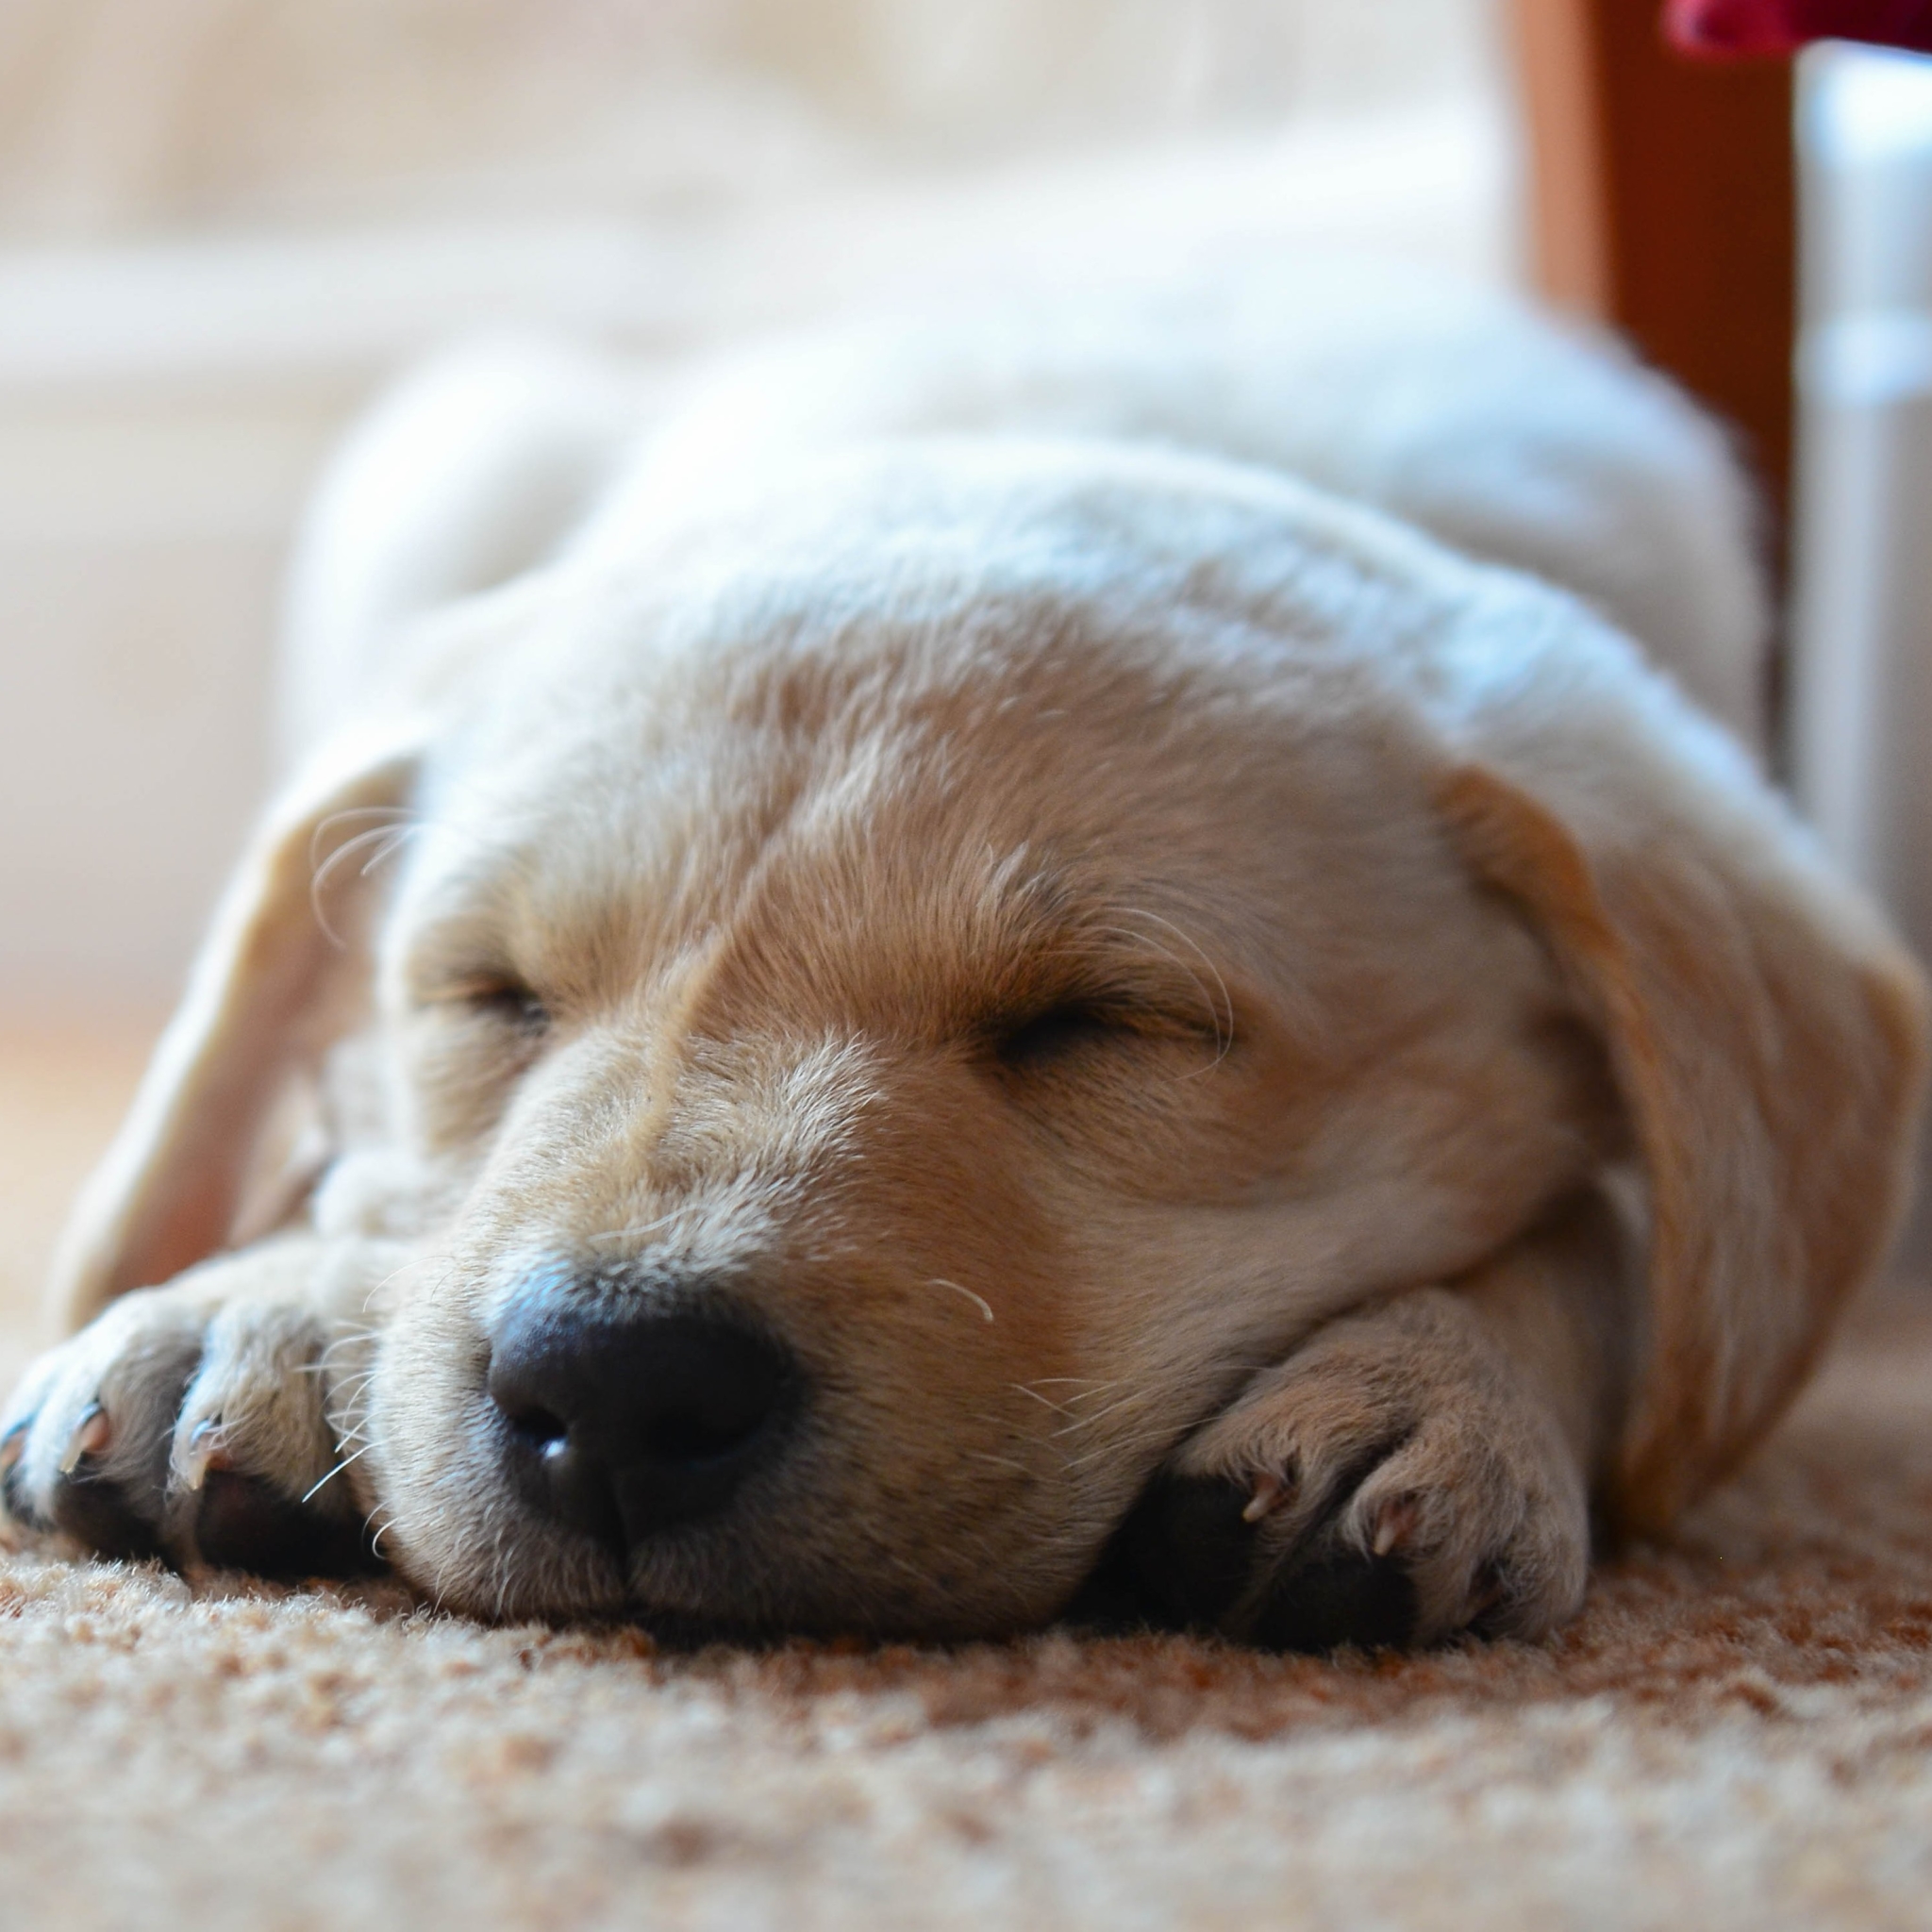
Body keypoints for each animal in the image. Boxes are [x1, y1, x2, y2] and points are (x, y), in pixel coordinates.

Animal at [8, 253, 1924, 1645]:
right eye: (495, 996)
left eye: (1108, 1020)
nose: (615, 1388)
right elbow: (354, 1168)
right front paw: (248, 1304)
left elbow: (1620, 1237)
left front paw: (1444, 1380)